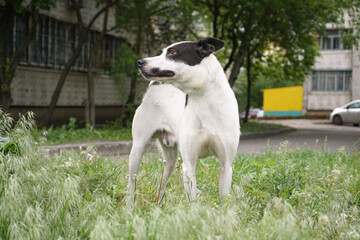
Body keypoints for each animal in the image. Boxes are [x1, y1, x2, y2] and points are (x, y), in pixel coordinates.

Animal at [126, 37, 239, 206]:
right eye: (162, 51)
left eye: (172, 52)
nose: (140, 62)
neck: (205, 101)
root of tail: (153, 89)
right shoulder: (188, 166)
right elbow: (192, 199)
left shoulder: (226, 165)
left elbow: (224, 199)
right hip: (137, 150)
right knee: (132, 183)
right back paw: (130, 207)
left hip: (171, 161)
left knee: (162, 184)